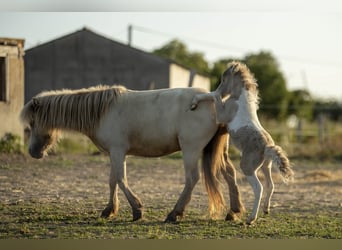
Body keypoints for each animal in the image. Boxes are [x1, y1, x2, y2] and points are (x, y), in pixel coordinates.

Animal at [21, 85, 244, 222]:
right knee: (229, 174)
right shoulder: (114, 153)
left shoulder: (118, 151)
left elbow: (121, 179)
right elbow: (112, 180)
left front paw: (137, 210)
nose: (33, 152)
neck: (103, 111)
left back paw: (175, 213)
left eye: (32, 122)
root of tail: (214, 99)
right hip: (218, 151)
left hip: (191, 149)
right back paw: (233, 212)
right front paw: (109, 210)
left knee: (192, 179)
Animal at [190, 61, 294, 225]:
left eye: (224, 79)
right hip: (266, 165)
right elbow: (214, 95)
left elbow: (213, 95)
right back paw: (266, 209)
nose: (222, 90)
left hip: (247, 167)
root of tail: (267, 147)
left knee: (259, 188)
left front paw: (195, 101)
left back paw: (251, 219)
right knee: (270, 185)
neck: (240, 99)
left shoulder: (221, 115)